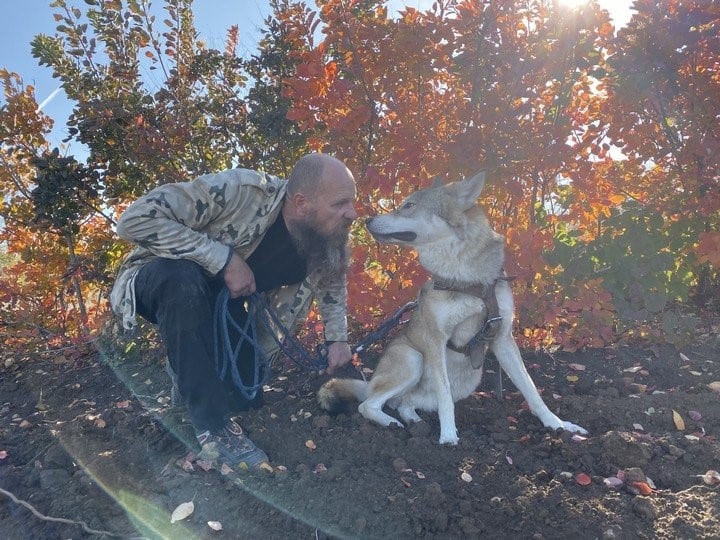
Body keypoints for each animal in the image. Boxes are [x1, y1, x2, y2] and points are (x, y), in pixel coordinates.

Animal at [318, 172, 588, 442]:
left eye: (409, 205)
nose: (367, 220)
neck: (468, 281)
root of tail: (372, 381)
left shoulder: (503, 338)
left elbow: (531, 390)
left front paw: (558, 424)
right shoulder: (437, 339)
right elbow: (445, 396)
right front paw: (448, 437)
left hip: (468, 379)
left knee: (404, 403)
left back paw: (413, 420)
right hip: (413, 359)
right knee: (369, 404)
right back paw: (391, 422)